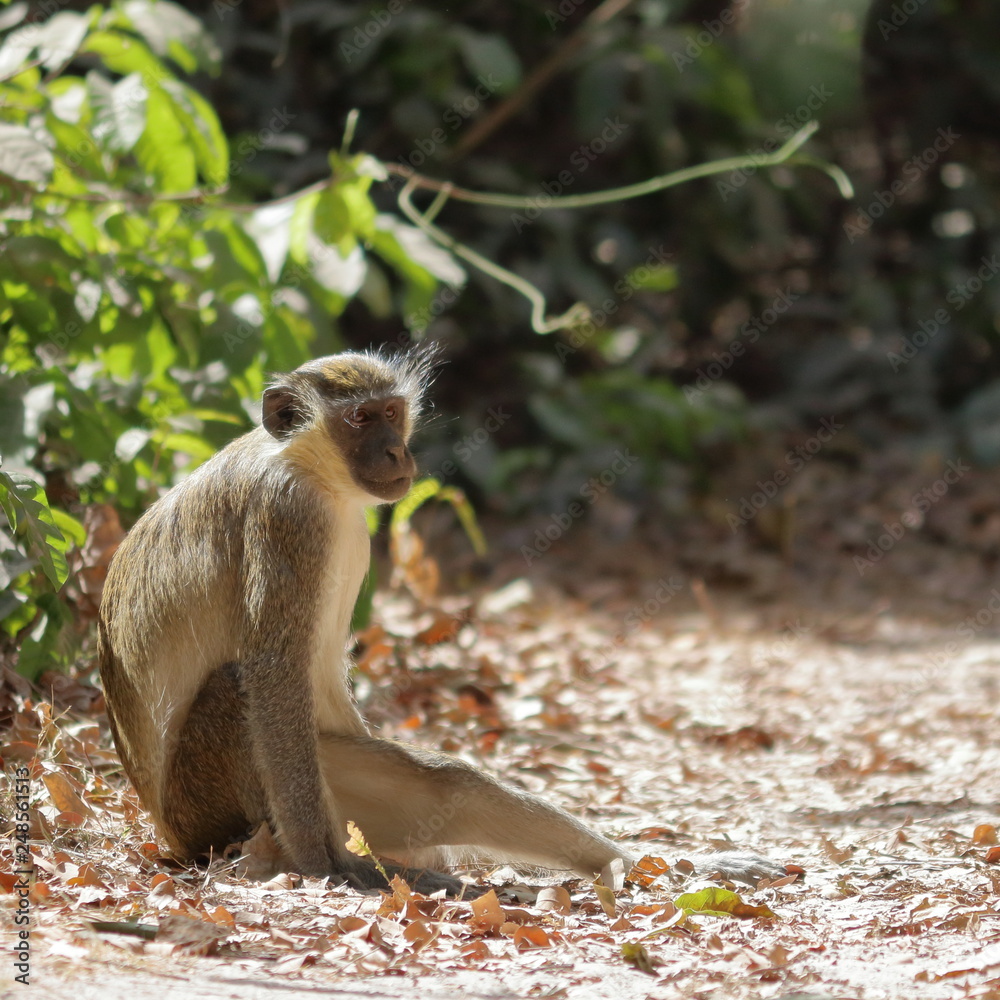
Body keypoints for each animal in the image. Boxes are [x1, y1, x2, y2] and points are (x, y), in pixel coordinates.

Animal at [99, 348, 788, 896]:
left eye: (391, 413)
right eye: (359, 420)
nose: (396, 450)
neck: (313, 473)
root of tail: (166, 831)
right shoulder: (286, 516)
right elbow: (271, 675)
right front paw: (323, 865)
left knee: (451, 787)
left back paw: (654, 867)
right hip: (203, 807)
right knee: (234, 686)